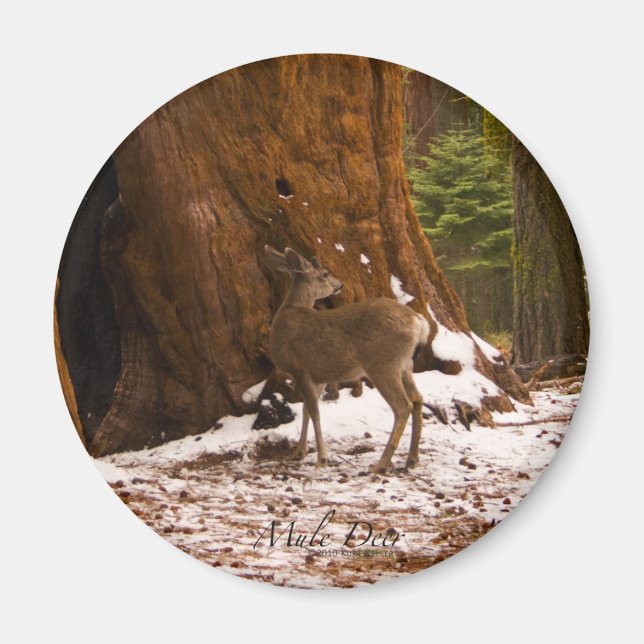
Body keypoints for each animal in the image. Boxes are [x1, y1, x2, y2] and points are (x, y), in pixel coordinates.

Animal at [264, 246, 430, 473]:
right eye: (326, 274)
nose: (340, 284)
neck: (289, 312)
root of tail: (418, 321)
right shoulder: (317, 374)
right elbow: (307, 410)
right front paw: (299, 452)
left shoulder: (300, 368)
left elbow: (314, 412)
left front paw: (321, 458)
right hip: (405, 365)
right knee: (417, 399)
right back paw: (412, 459)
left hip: (383, 364)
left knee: (402, 406)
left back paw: (381, 464)